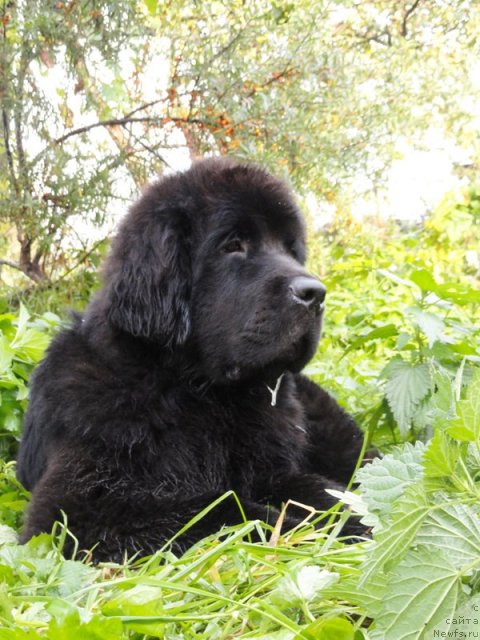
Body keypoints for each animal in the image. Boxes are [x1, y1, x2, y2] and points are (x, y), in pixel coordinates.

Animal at [16, 159, 366, 560]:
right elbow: (226, 508)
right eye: (233, 245)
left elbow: (330, 495)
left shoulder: (276, 471)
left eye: (291, 249)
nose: (315, 293)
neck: (200, 392)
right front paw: (305, 536)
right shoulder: (80, 504)